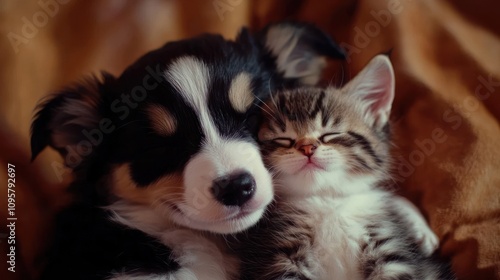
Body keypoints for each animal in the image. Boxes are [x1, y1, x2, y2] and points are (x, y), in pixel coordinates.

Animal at [232, 55, 456, 280]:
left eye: (330, 134)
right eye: (283, 139)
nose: (307, 147)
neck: (327, 200)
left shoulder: (386, 243)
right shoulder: (278, 251)